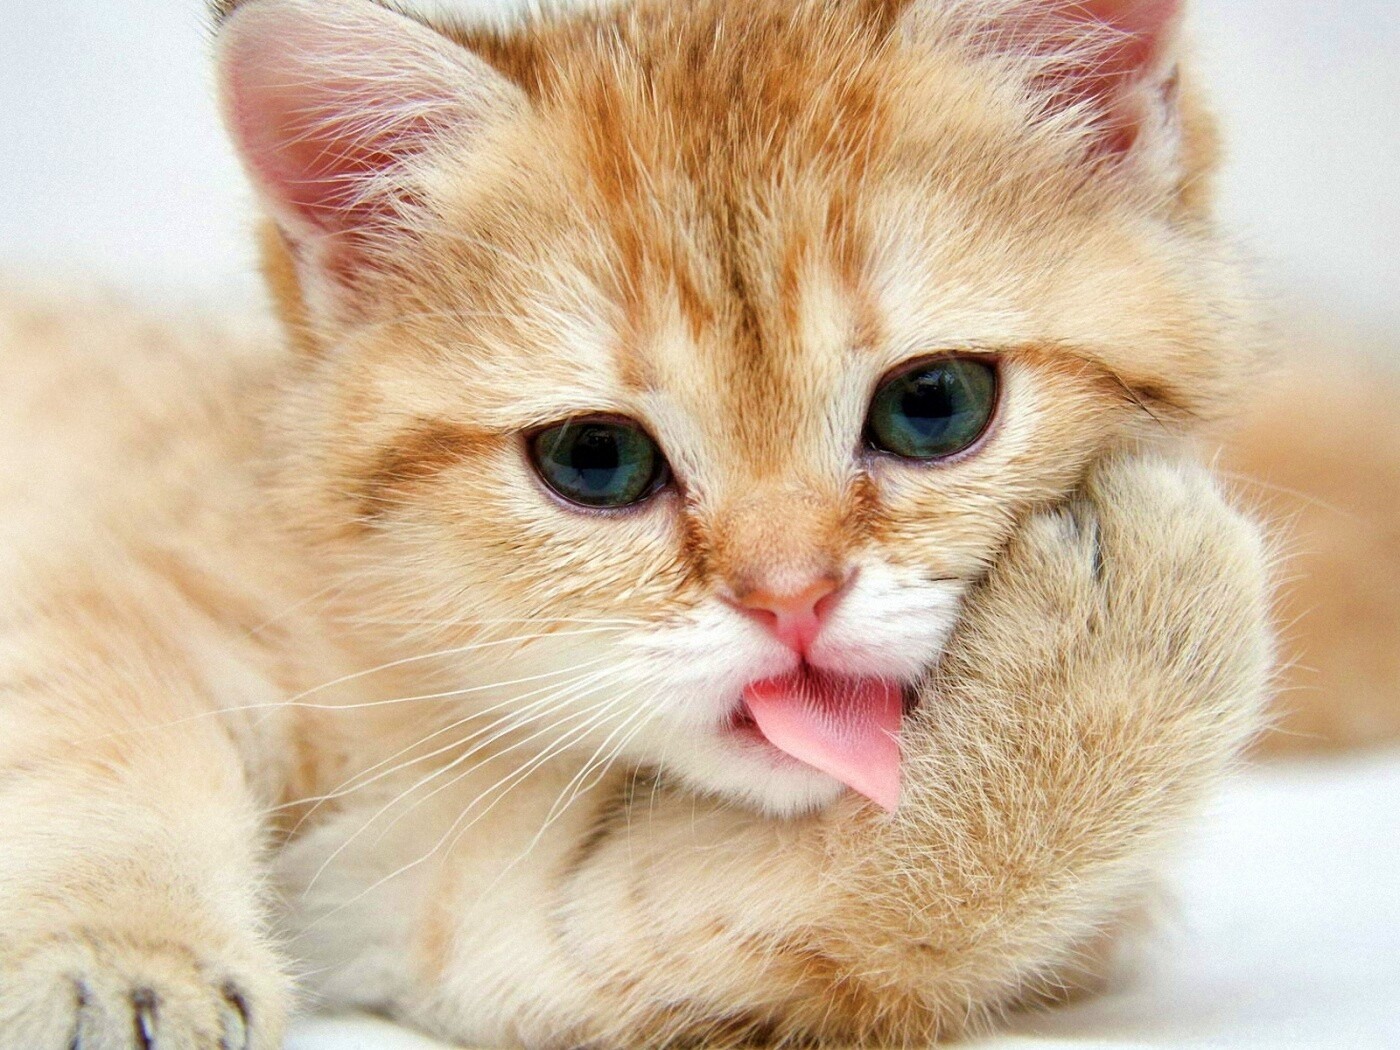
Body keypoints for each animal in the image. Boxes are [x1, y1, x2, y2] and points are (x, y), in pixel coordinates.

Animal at [7, 0, 1375, 1044]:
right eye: (594, 461)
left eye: (934, 404)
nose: (790, 599)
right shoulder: (104, 593)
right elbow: (103, 756)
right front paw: (117, 961)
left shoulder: (445, 904)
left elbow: (724, 924)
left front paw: (1112, 668)